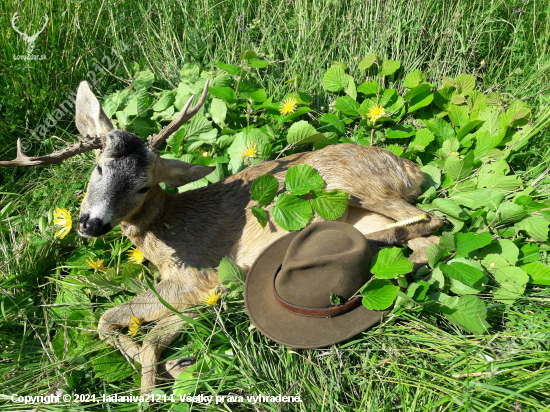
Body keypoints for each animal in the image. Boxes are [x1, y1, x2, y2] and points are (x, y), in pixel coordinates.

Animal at [1, 79, 444, 392]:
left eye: (143, 186)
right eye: (97, 168)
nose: (92, 224)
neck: (162, 229)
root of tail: (410, 169)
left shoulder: (196, 278)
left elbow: (116, 324)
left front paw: (150, 391)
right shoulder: (193, 292)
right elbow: (129, 328)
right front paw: (170, 367)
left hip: (354, 186)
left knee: (432, 222)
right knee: (425, 241)